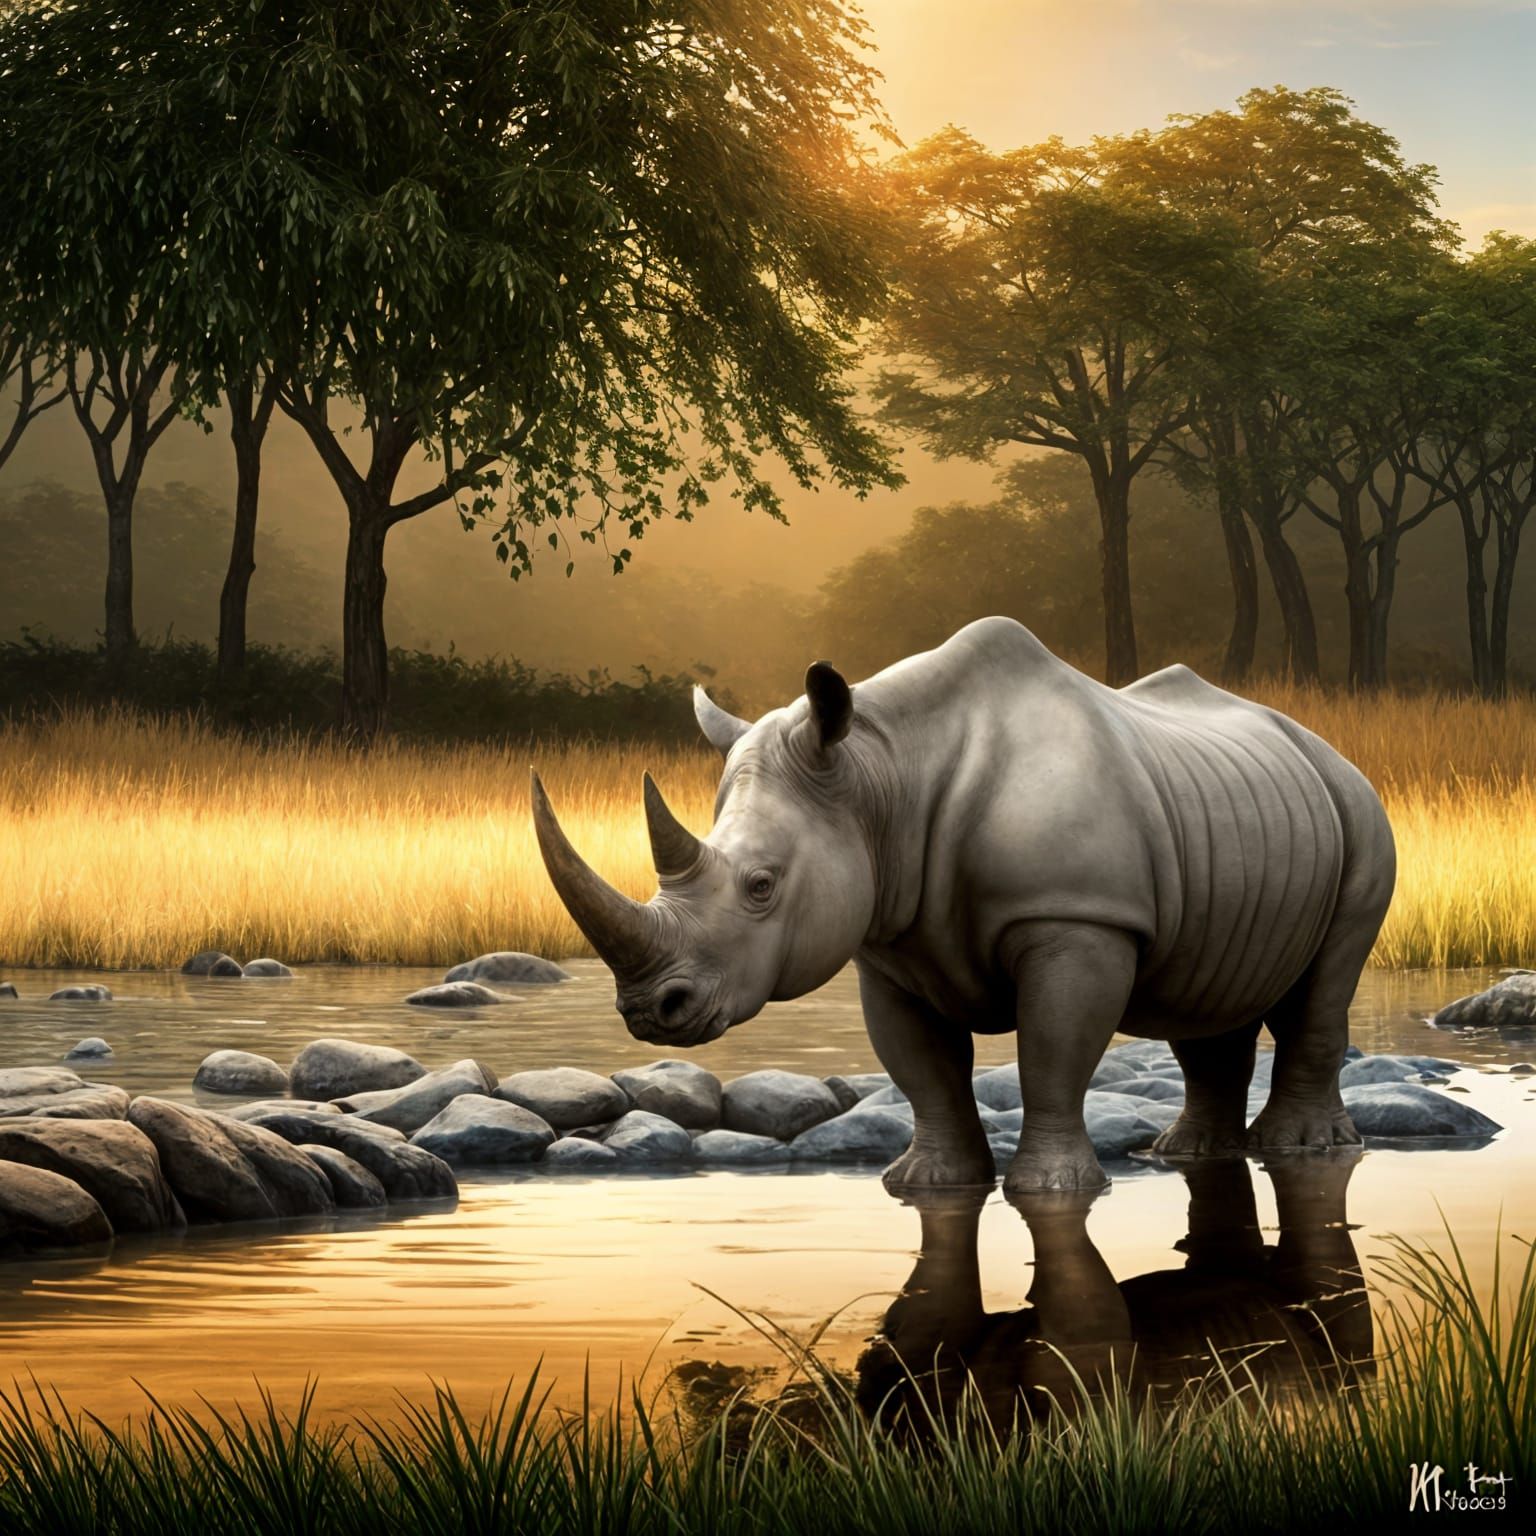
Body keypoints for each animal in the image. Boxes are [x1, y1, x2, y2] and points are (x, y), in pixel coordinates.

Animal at [532, 618, 1395, 1194]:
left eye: (762, 886)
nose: (650, 1009)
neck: (885, 773)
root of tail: (1327, 747)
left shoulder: (1075, 916)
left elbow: (1052, 1052)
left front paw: (1053, 1190)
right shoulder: (885, 937)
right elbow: (922, 1069)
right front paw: (925, 1183)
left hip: (1361, 817)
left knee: (1329, 974)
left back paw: (1307, 1151)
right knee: (1208, 1000)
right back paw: (1181, 1156)